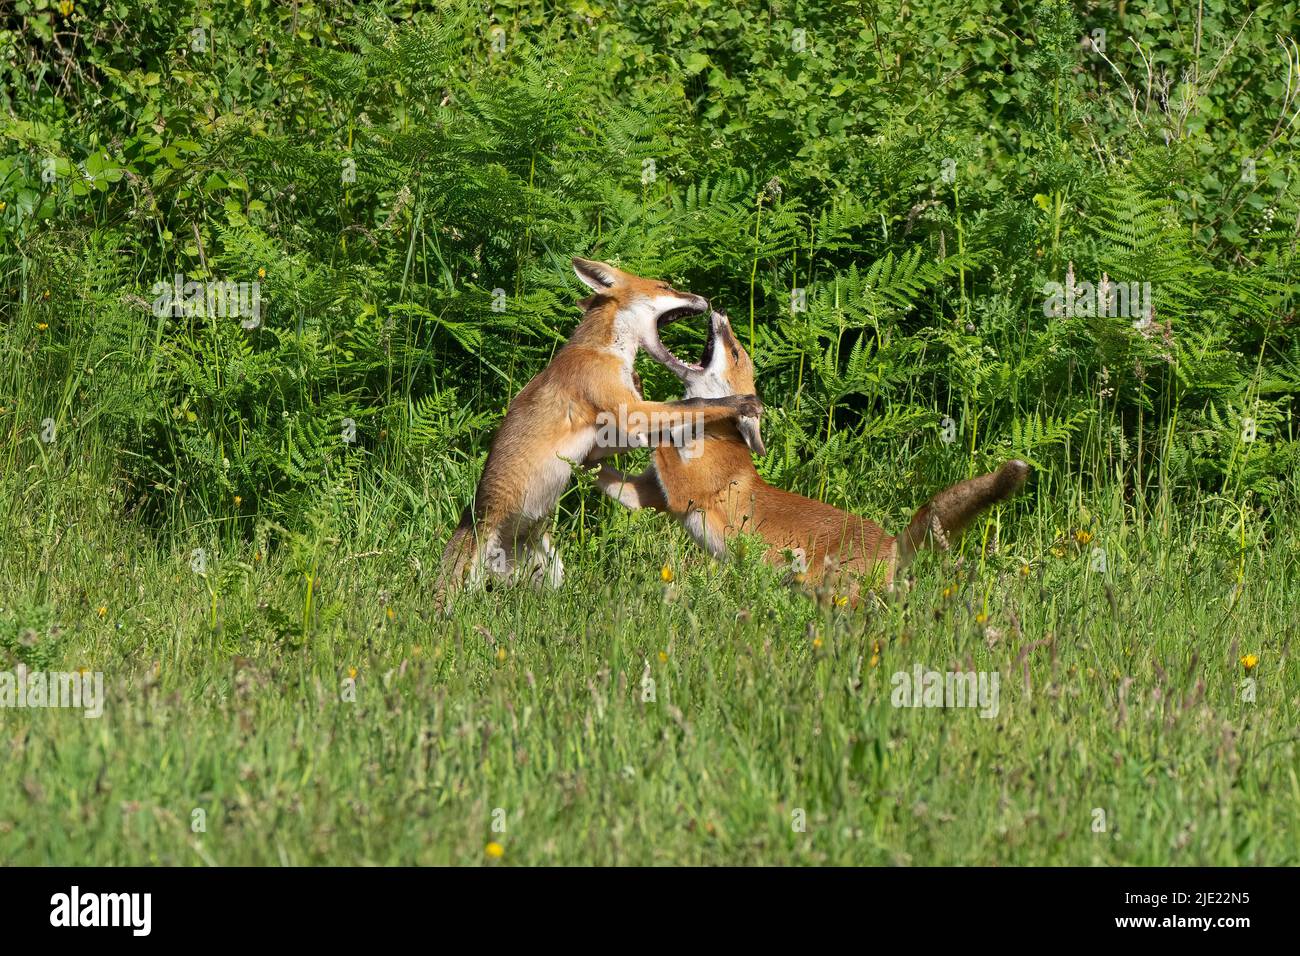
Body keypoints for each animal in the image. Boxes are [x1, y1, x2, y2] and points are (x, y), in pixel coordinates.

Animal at [439, 257, 759, 595]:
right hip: (461, 584)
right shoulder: (630, 411)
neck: (605, 351)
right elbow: (694, 404)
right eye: (665, 287)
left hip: (550, 572)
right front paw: (741, 402)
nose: (708, 300)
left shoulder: (612, 431)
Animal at [598, 310, 1034, 600]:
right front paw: (590, 463)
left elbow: (661, 441)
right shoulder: (655, 498)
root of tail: (893, 543)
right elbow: (616, 484)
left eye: (735, 352)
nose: (719, 313)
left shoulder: (685, 491)